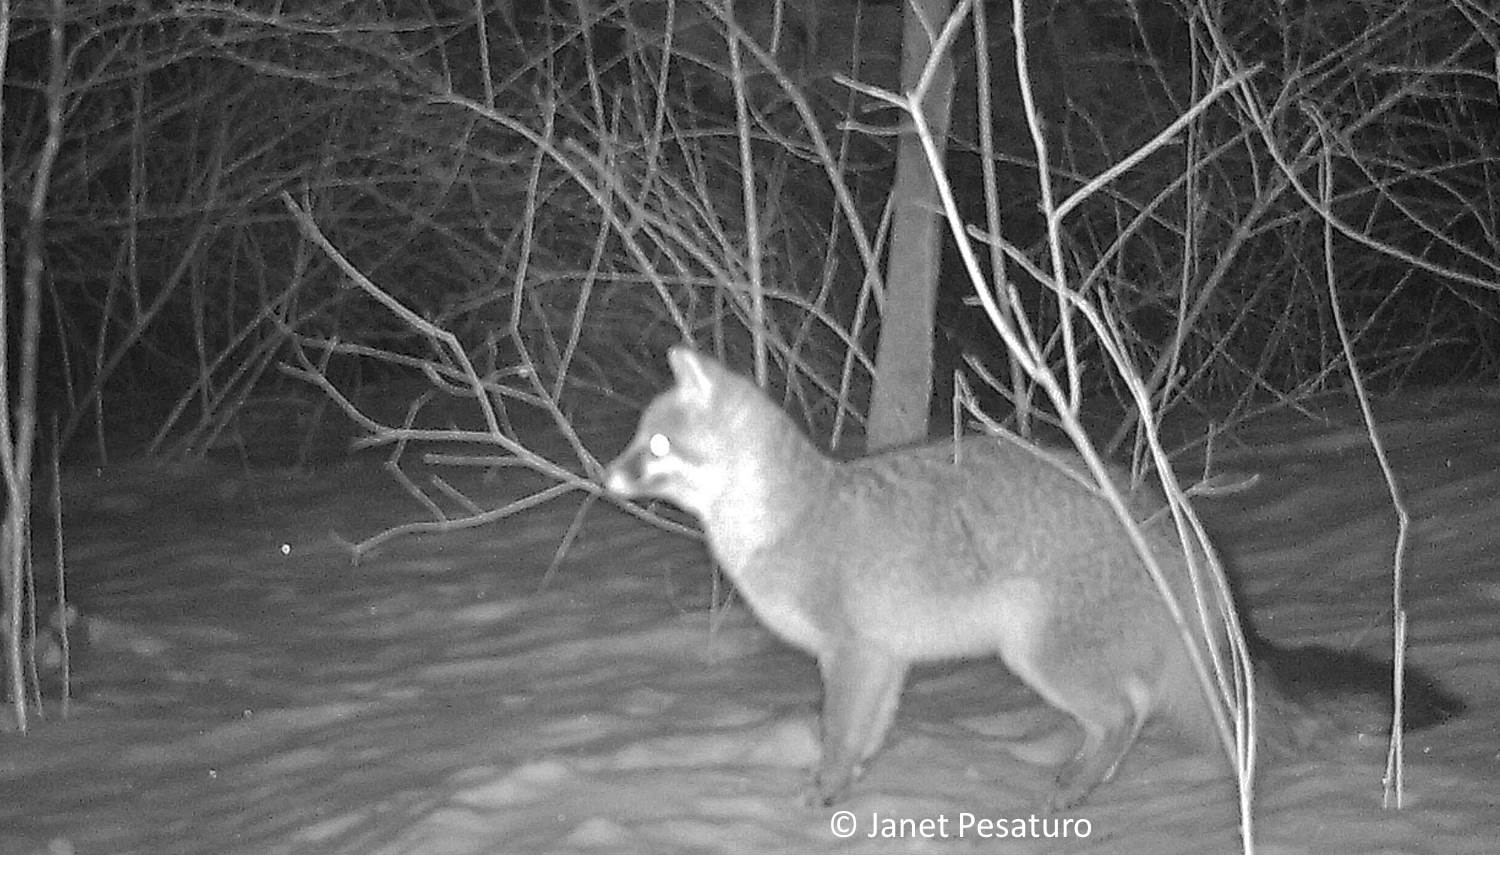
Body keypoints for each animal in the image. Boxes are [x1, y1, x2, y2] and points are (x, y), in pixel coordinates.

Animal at [603, 345, 1463, 810]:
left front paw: (820, 796)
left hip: (1040, 658)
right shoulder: (883, 661)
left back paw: (1074, 789)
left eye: (655, 447)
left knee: (1126, 715)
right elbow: (864, 738)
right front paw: (844, 790)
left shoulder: (850, 655)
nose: (604, 478)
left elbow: (839, 737)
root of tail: (1167, 513)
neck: (786, 519)